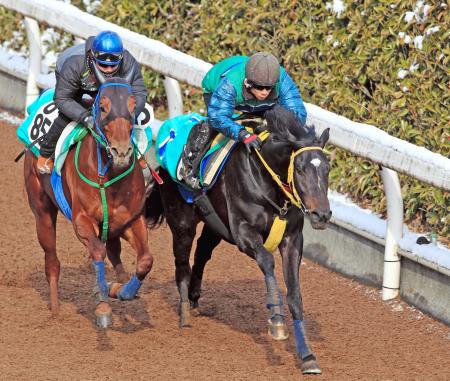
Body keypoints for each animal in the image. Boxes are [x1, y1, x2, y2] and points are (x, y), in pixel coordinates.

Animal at [25, 71, 158, 326]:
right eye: (103, 107)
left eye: (133, 106)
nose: (122, 152)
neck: (109, 177)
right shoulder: (82, 221)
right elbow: (98, 252)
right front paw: (103, 305)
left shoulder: (131, 220)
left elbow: (146, 259)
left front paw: (123, 290)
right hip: (41, 211)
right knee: (52, 262)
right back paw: (55, 311)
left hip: (112, 228)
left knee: (115, 254)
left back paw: (119, 283)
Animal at [153, 105, 332, 372]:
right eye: (300, 169)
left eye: (327, 169)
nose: (322, 214)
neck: (268, 185)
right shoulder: (244, 233)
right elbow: (267, 261)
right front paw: (276, 319)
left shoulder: (292, 239)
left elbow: (295, 295)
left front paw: (308, 356)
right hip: (182, 221)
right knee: (182, 263)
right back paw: (184, 313)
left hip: (215, 225)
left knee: (202, 253)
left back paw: (194, 297)